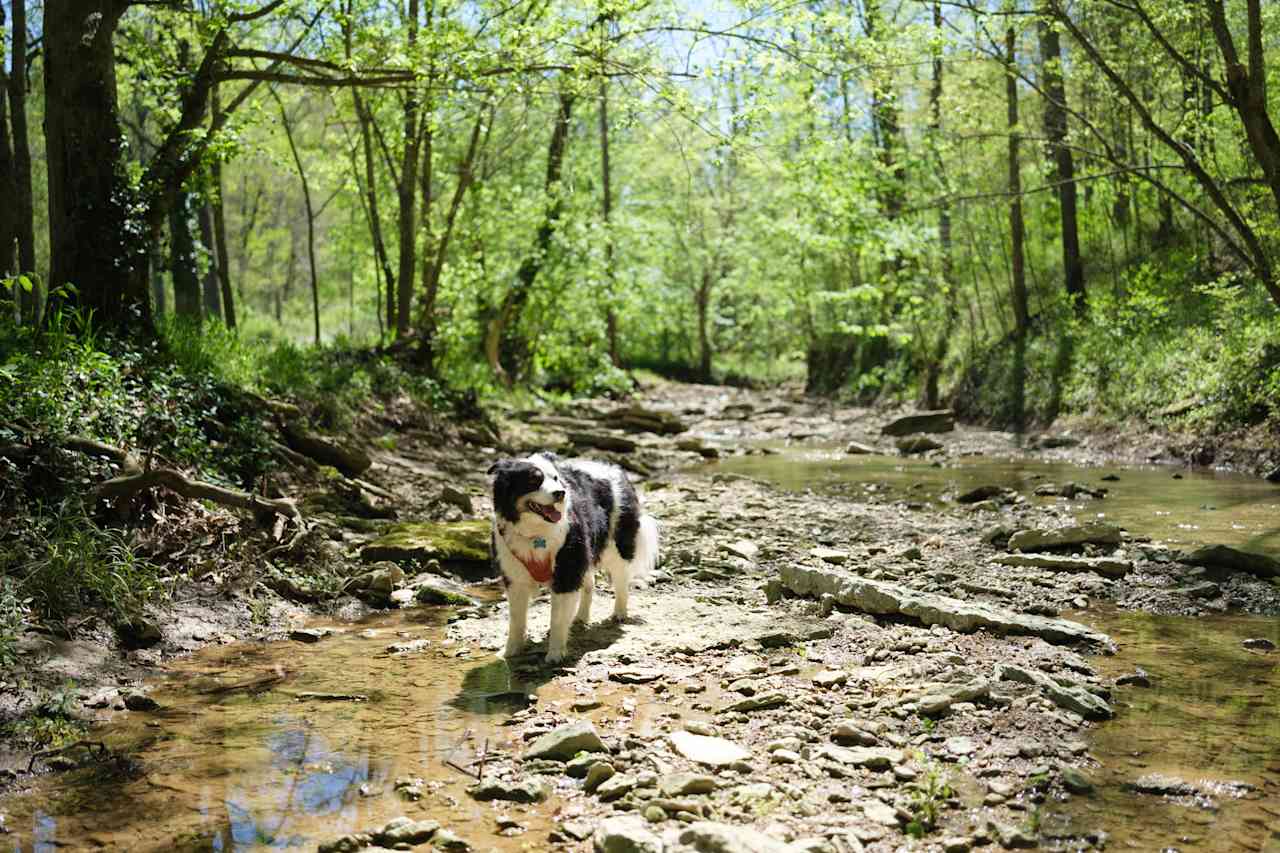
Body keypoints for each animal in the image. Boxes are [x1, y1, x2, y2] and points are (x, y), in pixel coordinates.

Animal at [483, 448, 655, 660]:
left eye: (556, 478)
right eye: (534, 480)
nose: (561, 493)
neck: (536, 533)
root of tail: (614, 468)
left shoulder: (567, 570)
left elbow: (557, 618)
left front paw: (555, 653)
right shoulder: (515, 577)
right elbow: (516, 619)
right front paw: (511, 651)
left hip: (616, 546)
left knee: (622, 582)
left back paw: (619, 614)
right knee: (590, 584)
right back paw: (580, 617)